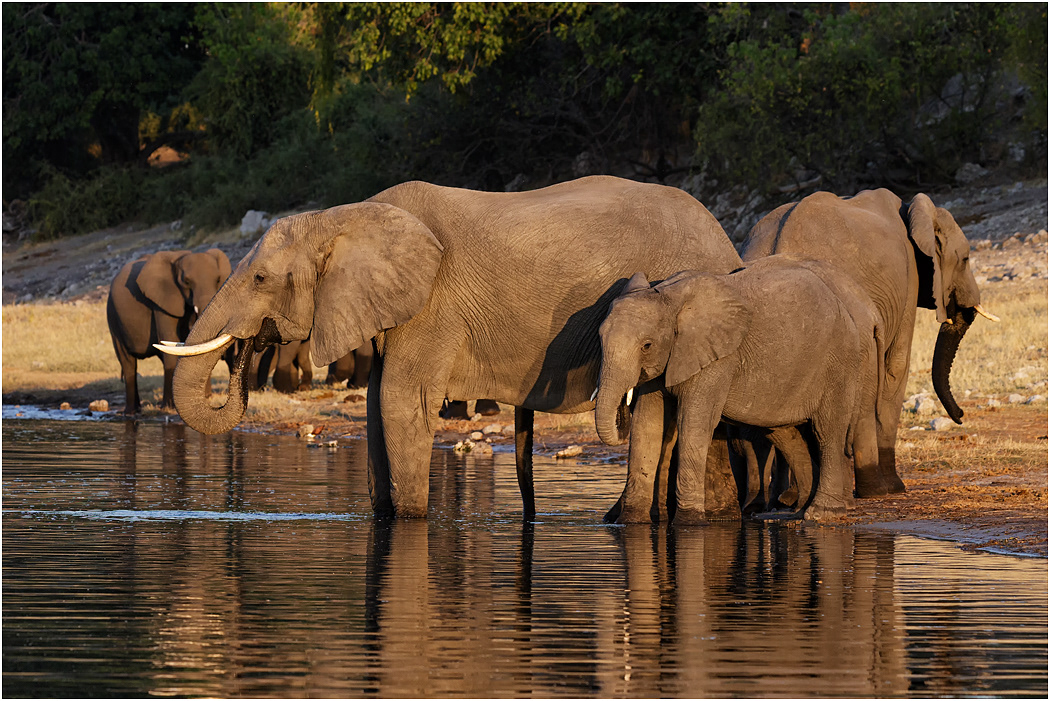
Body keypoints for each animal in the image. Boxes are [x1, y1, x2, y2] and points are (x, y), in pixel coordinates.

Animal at [107, 248, 231, 414]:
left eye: (218, 280)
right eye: (187, 282)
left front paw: (205, 398)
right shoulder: (161, 302)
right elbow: (170, 340)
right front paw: (170, 407)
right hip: (113, 316)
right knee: (128, 362)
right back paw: (131, 412)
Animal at [157, 175, 741, 519]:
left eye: (259, 278)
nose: (250, 343)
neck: (345, 216)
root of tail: (726, 243)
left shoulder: (432, 307)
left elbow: (400, 402)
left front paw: (410, 521)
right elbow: (377, 406)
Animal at [594, 257, 882, 524]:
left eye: (647, 345)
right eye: (599, 338)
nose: (621, 414)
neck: (668, 297)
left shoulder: (718, 359)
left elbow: (694, 423)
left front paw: (690, 522)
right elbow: (648, 424)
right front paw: (631, 522)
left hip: (839, 361)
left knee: (827, 430)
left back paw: (822, 513)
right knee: (787, 434)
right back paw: (795, 513)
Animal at [741, 189, 997, 497]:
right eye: (966, 259)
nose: (961, 416)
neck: (914, 210)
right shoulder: (909, 280)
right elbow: (896, 368)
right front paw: (895, 488)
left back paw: (786, 497)